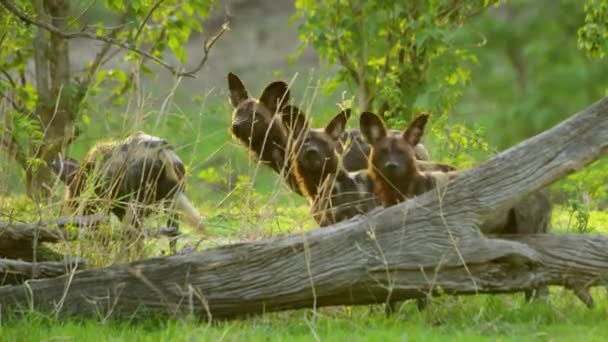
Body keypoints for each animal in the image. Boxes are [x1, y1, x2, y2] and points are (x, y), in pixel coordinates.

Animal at [52, 132, 204, 258]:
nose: (73, 218)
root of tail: (161, 150)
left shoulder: (106, 211)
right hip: (172, 204)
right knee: (172, 235)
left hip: (135, 209)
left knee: (136, 238)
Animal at [358, 111, 552, 306]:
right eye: (383, 151)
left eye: (402, 152)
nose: (392, 166)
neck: (400, 190)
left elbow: (422, 294)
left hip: (529, 235)